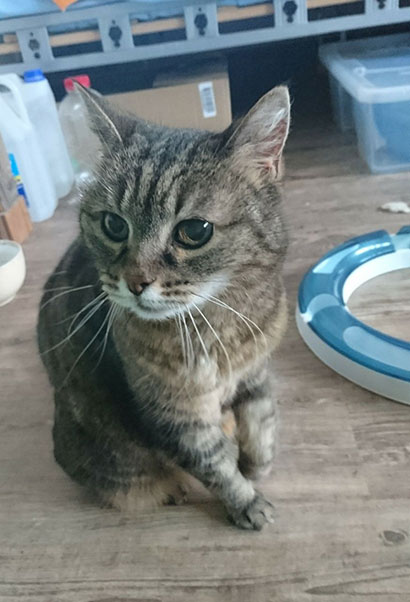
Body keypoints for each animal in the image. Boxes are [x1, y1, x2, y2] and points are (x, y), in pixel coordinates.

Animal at [37, 84, 290, 530]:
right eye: (114, 225)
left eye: (194, 231)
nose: (135, 282)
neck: (219, 321)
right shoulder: (172, 416)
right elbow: (213, 462)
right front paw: (246, 501)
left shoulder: (257, 370)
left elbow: (263, 422)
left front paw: (256, 465)